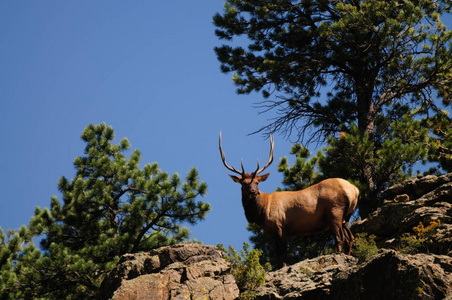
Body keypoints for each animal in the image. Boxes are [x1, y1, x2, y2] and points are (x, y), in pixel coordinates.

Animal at [220, 133, 360, 268]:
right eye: (244, 183)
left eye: (257, 182)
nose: (253, 192)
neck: (262, 211)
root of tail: (354, 189)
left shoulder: (279, 226)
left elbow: (281, 255)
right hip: (346, 216)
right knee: (350, 237)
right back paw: (348, 257)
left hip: (335, 211)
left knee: (340, 237)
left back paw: (336, 257)